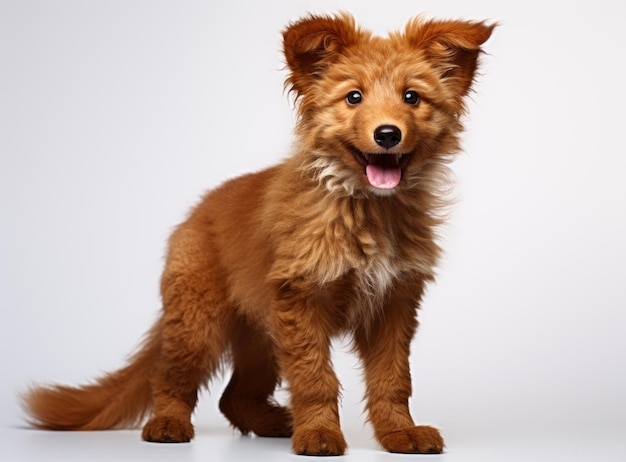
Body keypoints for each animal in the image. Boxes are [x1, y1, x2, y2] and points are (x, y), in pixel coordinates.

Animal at [23, 13, 492, 454]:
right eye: (353, 97)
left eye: (412, 97)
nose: (388, 134)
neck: (366, 207)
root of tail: (196, 212)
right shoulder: (301, 300)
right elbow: (315, 377)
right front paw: (319, 434)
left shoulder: (393, 305)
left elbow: (393, 380)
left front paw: (399, 433)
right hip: (197, 321)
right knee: (170, 376)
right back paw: (168, 424)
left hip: (262, 333)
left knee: (233, 397)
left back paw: (273, 422)